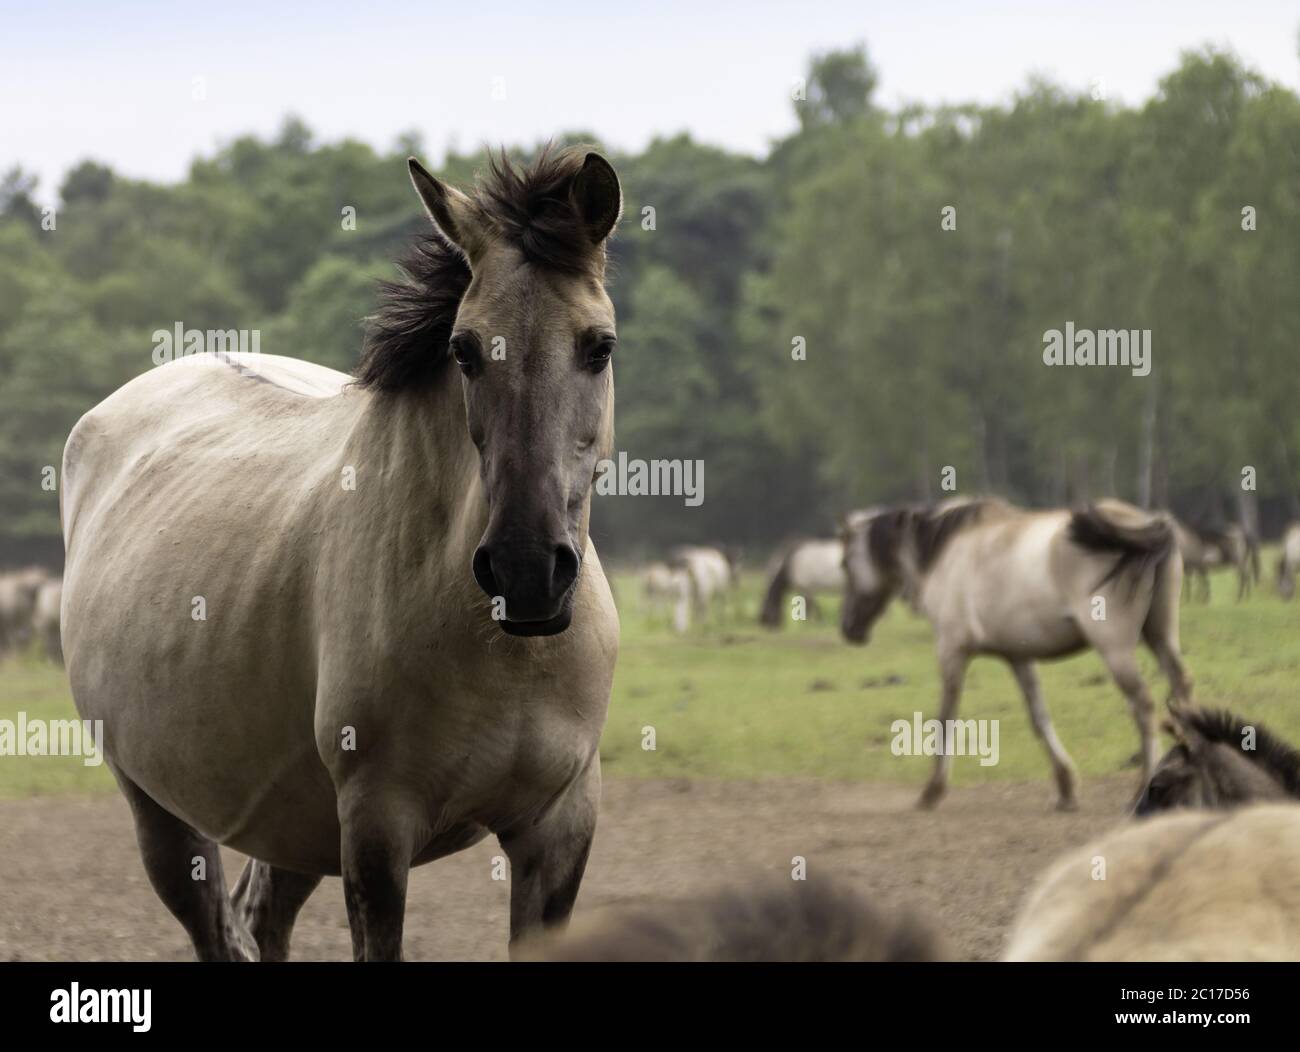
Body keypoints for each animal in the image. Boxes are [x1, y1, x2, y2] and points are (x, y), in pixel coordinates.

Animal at [59, 145, 624, 962]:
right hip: (161, 810)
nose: (525, 573)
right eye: (463, 351)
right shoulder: (377, 829)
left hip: (295, 824)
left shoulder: (559, 827)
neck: (503, 648)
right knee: (215, 924)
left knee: (263, 915)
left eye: (599, 346)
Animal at [837, 496, 1190, 806]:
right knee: (1181, 689)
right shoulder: (1018, 656)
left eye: (845, 563)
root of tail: (1145, 524)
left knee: (1143, 705)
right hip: (1161, 637)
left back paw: (1142, 787)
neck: (945, 555)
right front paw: (1065, 787)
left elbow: (945, 718)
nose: (847, 627)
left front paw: (933, 790)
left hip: (1115, 650)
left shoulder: (952, 651)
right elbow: (1039, 717)